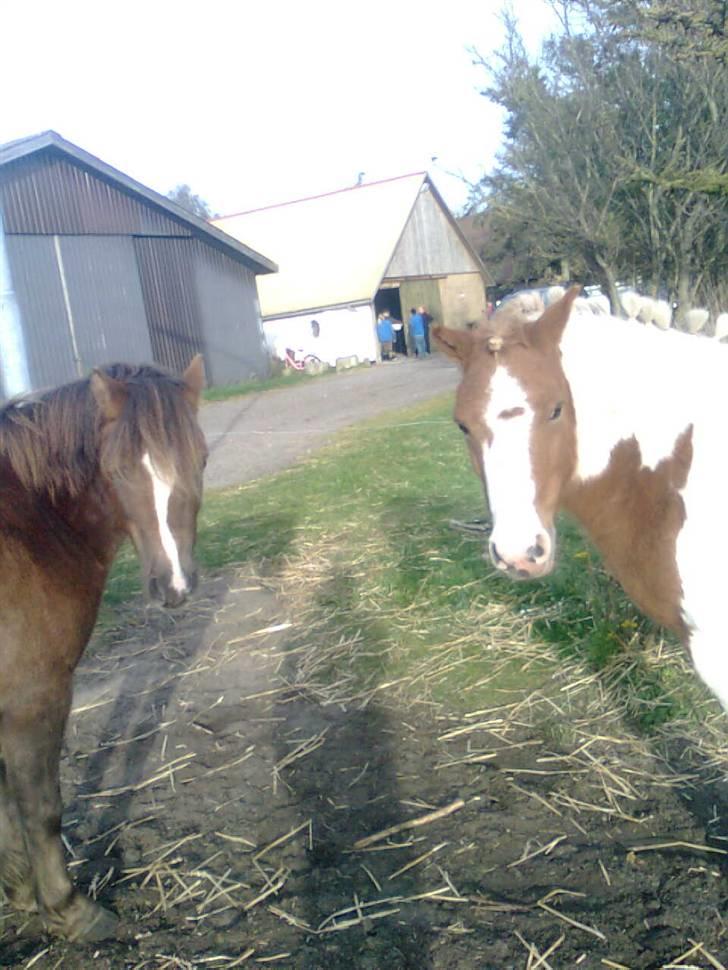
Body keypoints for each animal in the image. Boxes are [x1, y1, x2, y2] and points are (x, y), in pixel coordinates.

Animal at [0, 356, 206, 936]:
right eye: (116, 472)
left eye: (201, 459)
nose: (174, 585)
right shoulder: (33, 698)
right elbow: (41, 807)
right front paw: (69, 909)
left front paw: (19, 890)